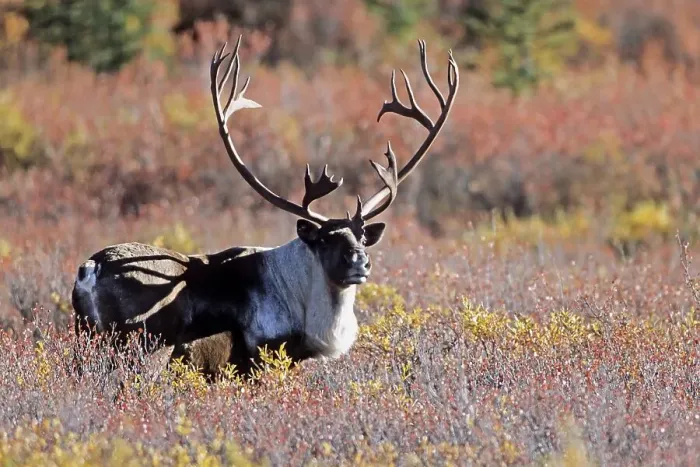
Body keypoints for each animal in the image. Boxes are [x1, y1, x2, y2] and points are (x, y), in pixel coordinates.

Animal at [71, 36, 459, 375]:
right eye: (325, 239)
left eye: (362, 237)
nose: (360, 262)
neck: (302, 299)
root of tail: (91, 268)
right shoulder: (261, 359)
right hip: (144, 348)